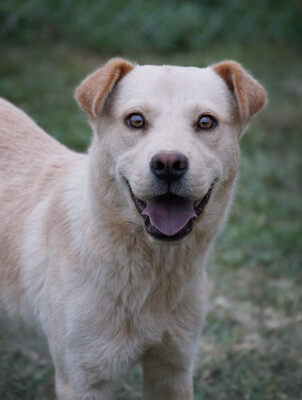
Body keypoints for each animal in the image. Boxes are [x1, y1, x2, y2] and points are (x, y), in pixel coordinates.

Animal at [0, 57, 264, 398]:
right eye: (135, 120)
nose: (168, 164)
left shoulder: (173, 367)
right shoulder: (83, 380)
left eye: (206, 122)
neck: (153, 271)